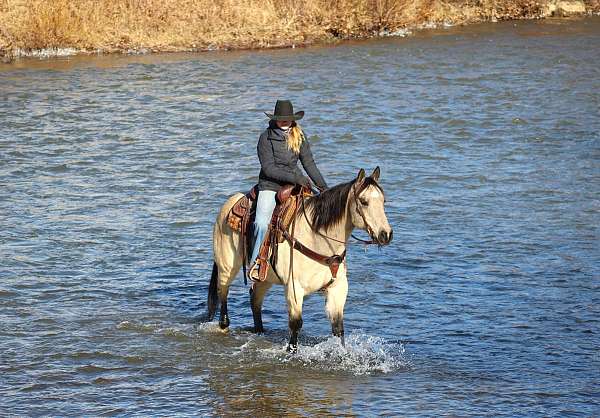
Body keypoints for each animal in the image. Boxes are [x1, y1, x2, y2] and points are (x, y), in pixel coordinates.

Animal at [206, 167, 394, 352]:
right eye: (363, 201)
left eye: (383, 201)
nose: (386, 234)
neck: (317, 239)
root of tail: (230, 203)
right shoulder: (294, 288)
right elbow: (296, 324)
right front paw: (291, 351)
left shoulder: (338, 288)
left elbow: (338, 328)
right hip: (227, 267)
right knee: (223, 291)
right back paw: (224, 325)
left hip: (265, 277)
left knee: (255, 298)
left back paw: (259, 331)